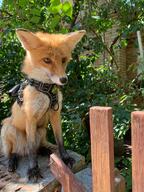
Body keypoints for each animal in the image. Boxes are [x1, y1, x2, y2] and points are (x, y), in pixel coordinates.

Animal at [0, 28, 85, 182]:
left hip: (41, 131)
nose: (64, 80)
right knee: (14, 151)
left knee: (35, 147)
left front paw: (65, 158)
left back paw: (44, 150)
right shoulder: (30, 118)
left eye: (63, 60)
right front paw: (33, 169)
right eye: (47, 60)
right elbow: (32, 151)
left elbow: (60, 140)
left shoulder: (56, 113)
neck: (46, 90)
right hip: (8, 128)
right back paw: (12, 161)